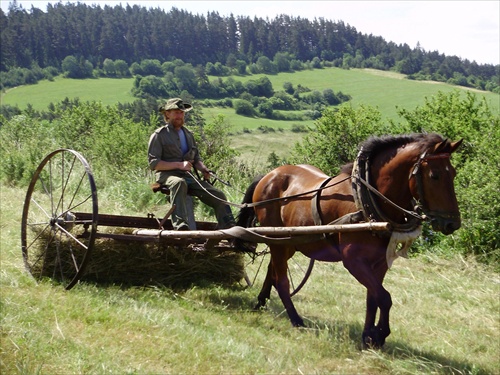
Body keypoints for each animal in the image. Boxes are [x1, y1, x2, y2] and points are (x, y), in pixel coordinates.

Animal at [236, 133, 462, 350]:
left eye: (453, 173)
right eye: (434, 175)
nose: (452, 223)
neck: (366, 200)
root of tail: (269, 175)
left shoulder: (380, 262)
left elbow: (373, 298)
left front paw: (368, 335)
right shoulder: (353, 260)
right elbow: (384, 297)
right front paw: (380, 334)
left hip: (289, 241)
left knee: (273, 271)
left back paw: (261, 302)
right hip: (276, 239)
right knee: (281, 280)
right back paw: (296, 319)